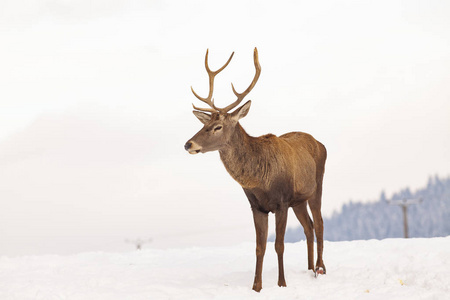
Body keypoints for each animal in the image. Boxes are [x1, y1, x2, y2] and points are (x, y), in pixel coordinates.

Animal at [183, 48, 326, 292]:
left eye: (217, 126)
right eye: (203, 124)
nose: (188, 144)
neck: (260, 181)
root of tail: (321, 143)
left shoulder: (282, 202)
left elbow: (279, 245)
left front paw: (281, 283)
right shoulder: (256, 206)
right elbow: (260, 247)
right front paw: (256, 287)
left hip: (317, 186)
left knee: (319, 224)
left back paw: (320, 268)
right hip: (299, 200)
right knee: (308, 226)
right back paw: (309, 269)